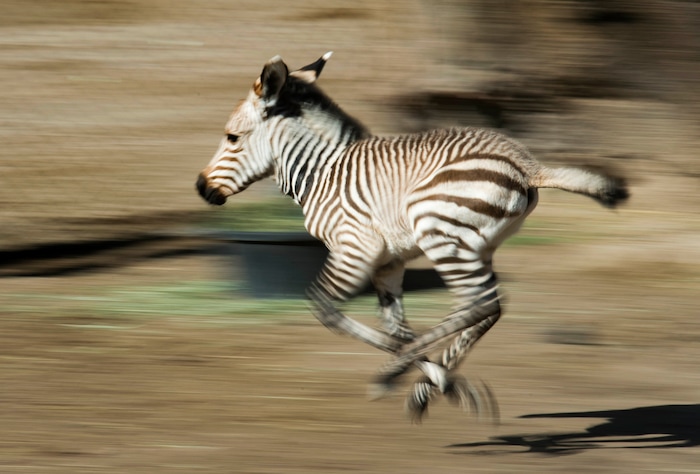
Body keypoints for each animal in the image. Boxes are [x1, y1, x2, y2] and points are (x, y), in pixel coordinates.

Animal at [196, 52, 628, 421]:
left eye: (232, 138)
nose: (201, 188)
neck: (321, 171)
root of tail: (525, 164)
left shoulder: (354, 250)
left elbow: (326, 309)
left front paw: (421, 378)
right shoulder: (387, 263)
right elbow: (397, 329)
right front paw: (443, 383)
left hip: (441, 234)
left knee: (479, 304)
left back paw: (396, 376)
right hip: (475, 246)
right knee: (485, 308)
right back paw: (425, 386)